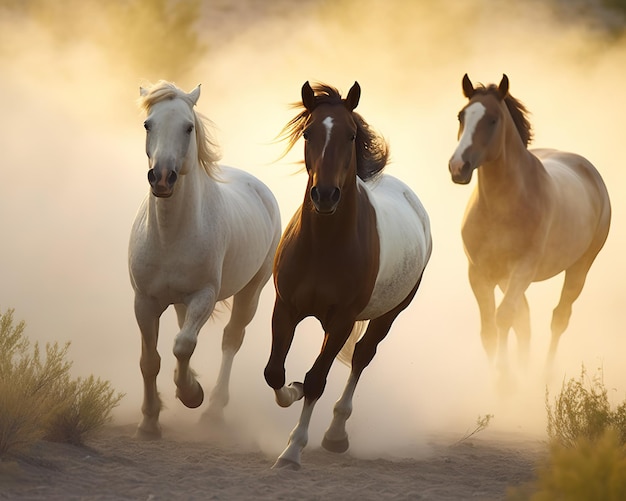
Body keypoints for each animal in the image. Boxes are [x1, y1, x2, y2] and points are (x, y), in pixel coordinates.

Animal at [128, 80, 280, 436]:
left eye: (188, 127)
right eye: (148, 124)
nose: (162, 177)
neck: (170, 235)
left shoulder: (204, 296)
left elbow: (183, 344)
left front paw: (191, 393)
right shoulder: (144, 301)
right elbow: (150, 360)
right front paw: (149, 421)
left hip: (251, 291)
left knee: (231, 339)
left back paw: (212, 410)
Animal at [262, 82, 428, 468]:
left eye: (350, 135)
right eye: (308, 133)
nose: (325, 195)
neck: (324, 246)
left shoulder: (341, 320)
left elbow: (316, 379)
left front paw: (292, 452)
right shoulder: (285, 307)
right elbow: (275, 372)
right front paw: (291, 391)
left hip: (389, 313)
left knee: (363, 356)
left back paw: (336, 435)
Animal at [448, 74, 608, 376]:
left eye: (493, 119)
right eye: (461, 115)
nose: (458, 167)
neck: (501, 209)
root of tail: (589, 171)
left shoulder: (523, 268)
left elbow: (502, 318)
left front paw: (505, 379)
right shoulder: (480, 274)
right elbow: (490, 330)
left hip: (579, 267)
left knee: (559, 317)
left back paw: (544, 375)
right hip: (505, 278)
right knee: (524, 320)